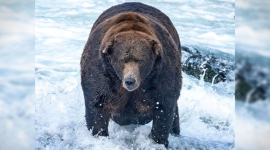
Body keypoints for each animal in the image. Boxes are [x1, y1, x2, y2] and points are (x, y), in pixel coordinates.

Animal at [80, 2, 181, 148]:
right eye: (122, 60)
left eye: (141, 60)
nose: (130, 81)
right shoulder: (101, 72)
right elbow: (97, 105)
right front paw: (100, 135)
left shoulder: (162, 74)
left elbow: (164, 107)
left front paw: (157, 141)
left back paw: (175, 131)